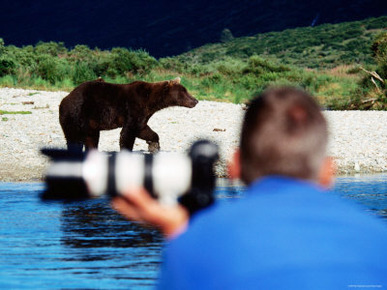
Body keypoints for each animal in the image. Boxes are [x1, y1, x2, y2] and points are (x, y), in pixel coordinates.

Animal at [59, 78, 199, 153]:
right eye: (184, 92)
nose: (196, 100)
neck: (150, 101)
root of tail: (65, 98)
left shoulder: (143, 114)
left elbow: (143, 130)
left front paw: (153, 145)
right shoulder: (133, 107)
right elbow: (128, 133)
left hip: (90, 123)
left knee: (91, 138)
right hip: (76, 114)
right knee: (74, 139)